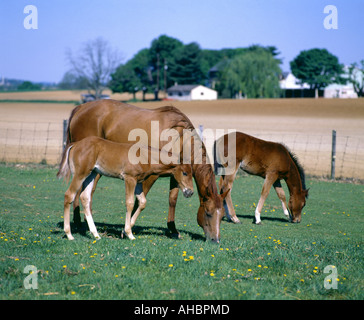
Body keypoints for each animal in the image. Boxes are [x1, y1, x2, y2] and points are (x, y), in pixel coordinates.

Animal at [57, 136, 195, 241]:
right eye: (184, 173)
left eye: (191, 173)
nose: (190, 192)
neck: (145, 156)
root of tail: (75, 144)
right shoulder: (130, 179)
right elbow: (129, 203)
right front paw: (129, 234)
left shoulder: (138, 182)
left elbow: (142, 202)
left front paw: (124, 230)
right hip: (80, 174)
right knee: (69, 195)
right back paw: (69, 234)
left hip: (92, 174)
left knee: (84, 197)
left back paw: (95, 234)